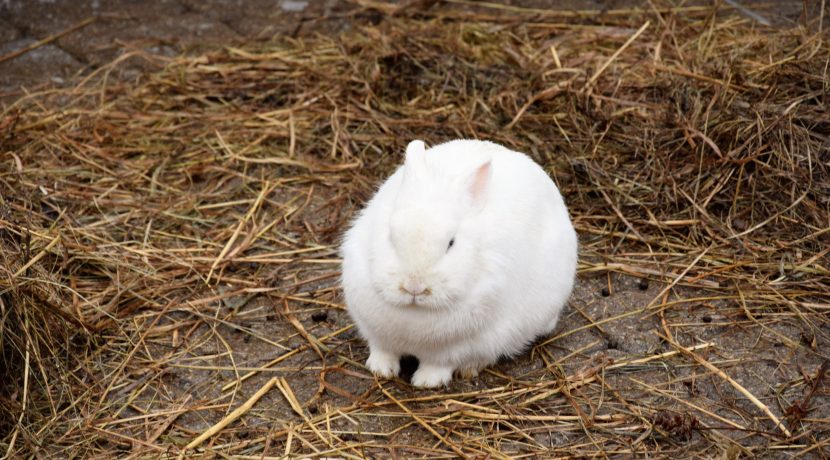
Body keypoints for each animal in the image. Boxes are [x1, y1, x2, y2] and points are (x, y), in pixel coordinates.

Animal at [338, 139, 580, 388]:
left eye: (451, 243)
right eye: (390, 236)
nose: (414, 287)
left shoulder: (455, 349)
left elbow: (439, 364)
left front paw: (426, 382)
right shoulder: (377, 335)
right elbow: (383, 350)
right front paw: (380, 369)